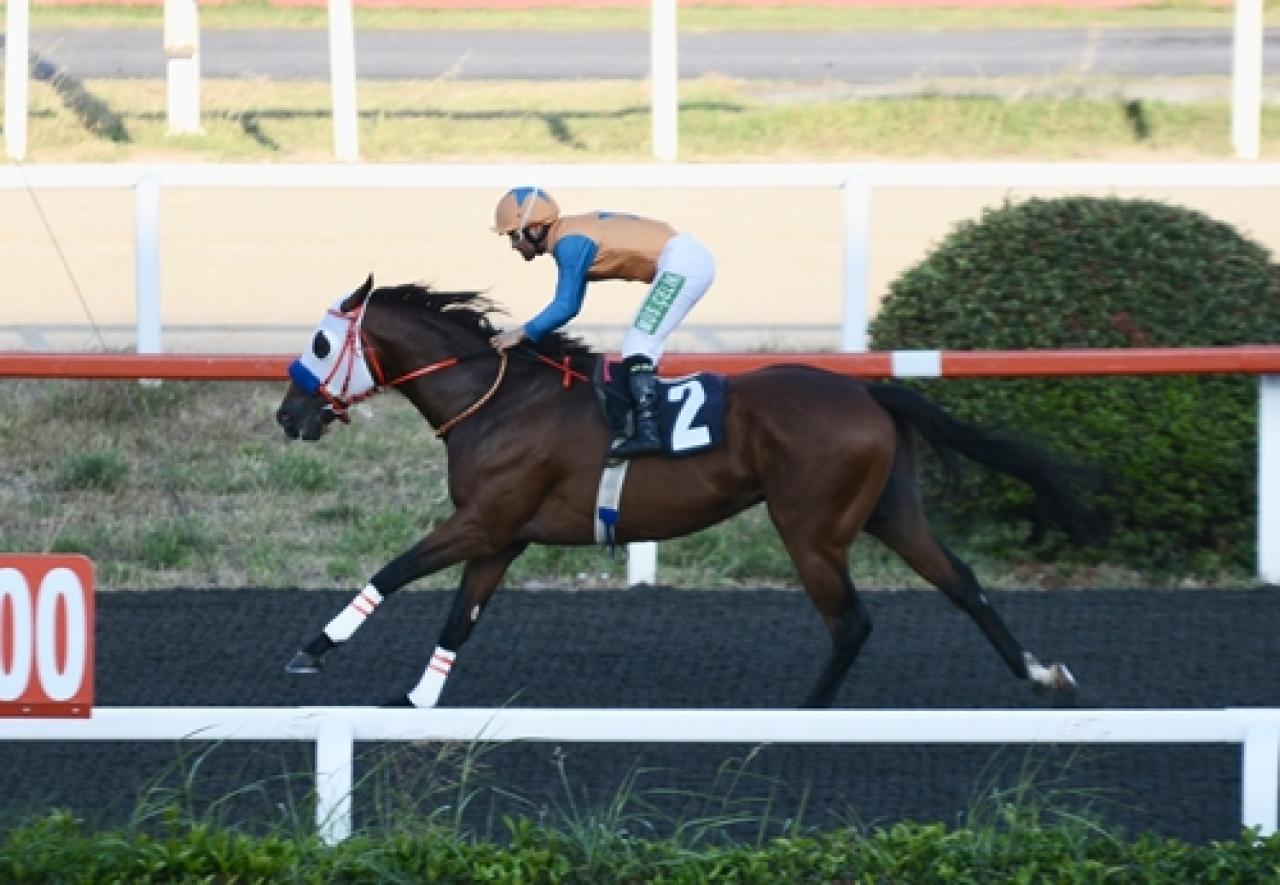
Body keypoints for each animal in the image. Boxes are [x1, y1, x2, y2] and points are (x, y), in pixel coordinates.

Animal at [275, 275, 1095, 706]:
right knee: (962, 581)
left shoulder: (483, 521)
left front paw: (312, 650)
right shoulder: (502, 536)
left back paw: (808, 712)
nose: (288, 414)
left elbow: (391, 571)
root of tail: (870, 392)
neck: (496, 398)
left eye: (320, 342)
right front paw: (417, 699)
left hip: (811, 527)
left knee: (852, 622)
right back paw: (1041, 671)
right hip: (890, 511)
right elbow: (460, 619)